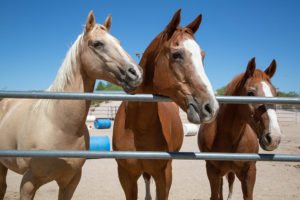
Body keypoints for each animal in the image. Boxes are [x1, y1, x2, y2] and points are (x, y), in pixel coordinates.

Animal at [0, 11, 142, 200]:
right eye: (97, 44)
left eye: (119, 42)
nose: (136, 73)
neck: (59, 125)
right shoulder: (28, 183)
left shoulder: (71, 180)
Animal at [112, 9, 218, 200]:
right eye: (177, 54)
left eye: (203, 55)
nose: (211, 108)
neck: (138, 127)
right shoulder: (126, 176)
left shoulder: (164, 174)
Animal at [199, 57, 282, 199]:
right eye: (250, 93)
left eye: (276, 93)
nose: (274, 138)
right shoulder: (212, 171)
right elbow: (215, 195)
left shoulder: (250, 172)